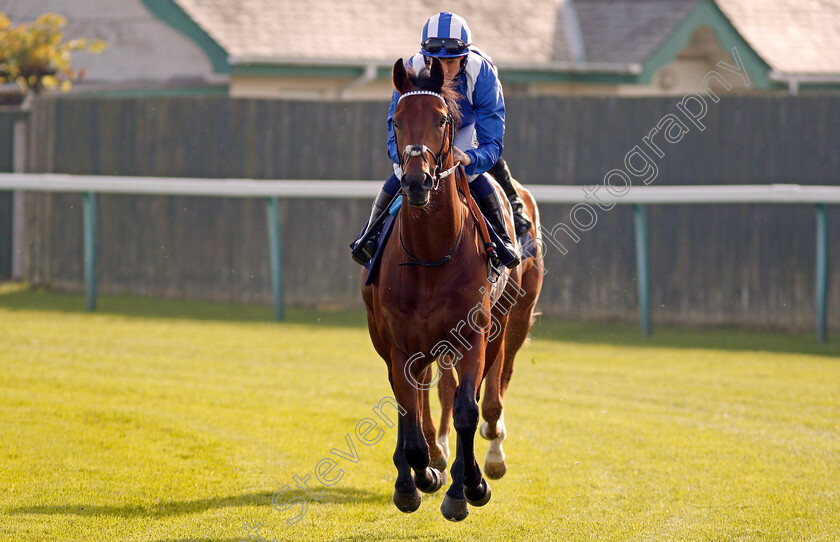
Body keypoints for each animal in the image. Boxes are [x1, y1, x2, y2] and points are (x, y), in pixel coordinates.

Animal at [360, 58, 544, 524]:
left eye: (442, 119)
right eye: (396, 120)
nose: (417, 182)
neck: (431, 255)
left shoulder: (474, 335)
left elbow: (466, 409)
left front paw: (468, 488)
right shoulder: (400, 342)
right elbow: (409, 411)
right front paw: (416, 477)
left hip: (510, 320)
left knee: (490, 390)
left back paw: (486, 456)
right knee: (423, 395)